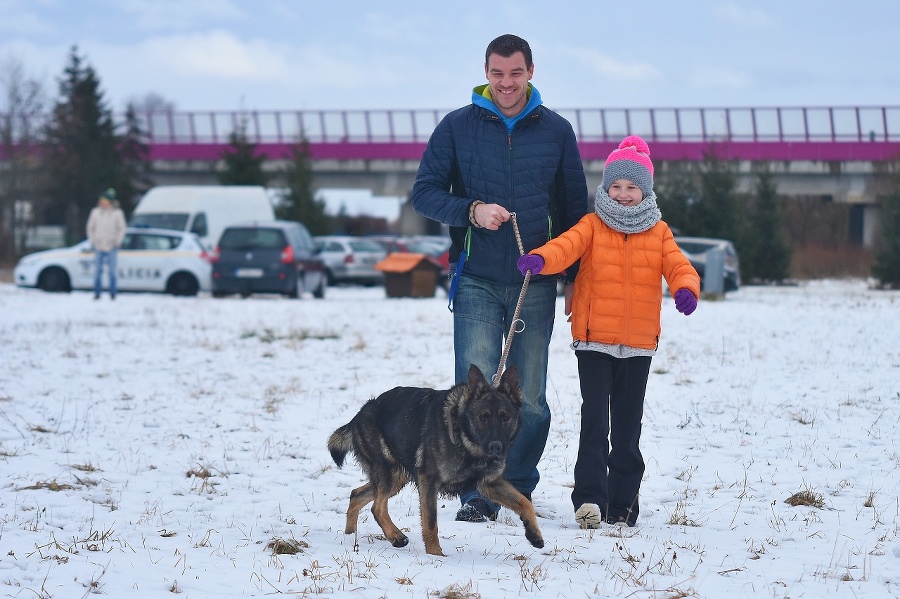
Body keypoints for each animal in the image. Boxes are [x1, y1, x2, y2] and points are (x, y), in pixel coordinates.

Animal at [328, 366, 544, 556]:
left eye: (505, 418)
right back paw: (396, 537)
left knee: (357, 495)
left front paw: (534, 535)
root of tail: (360, 413)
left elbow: (525, 502)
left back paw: (350, 536)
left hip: (397, 477)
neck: (466, 441)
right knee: (377, 506)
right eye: (483, 418)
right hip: (391, 474)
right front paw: (435, 556)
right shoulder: (428, 481)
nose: (496, 447)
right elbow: (431, 522)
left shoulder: (490, 484)